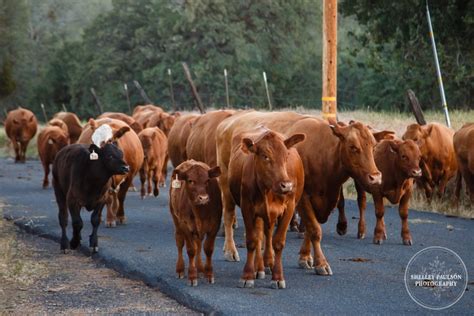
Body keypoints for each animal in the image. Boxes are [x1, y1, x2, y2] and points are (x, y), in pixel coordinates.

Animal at [229, 128, 304, 288]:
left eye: (286, 155)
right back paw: (259, 268)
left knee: (268, 235)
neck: (268, 190)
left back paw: (268, 263)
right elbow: (252, 240)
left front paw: (278, 277)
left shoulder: (289, 208)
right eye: (265, 157)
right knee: (260, 238)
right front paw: (247, 275)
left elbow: (278, 242)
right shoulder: (247, 207)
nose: (286, 185)